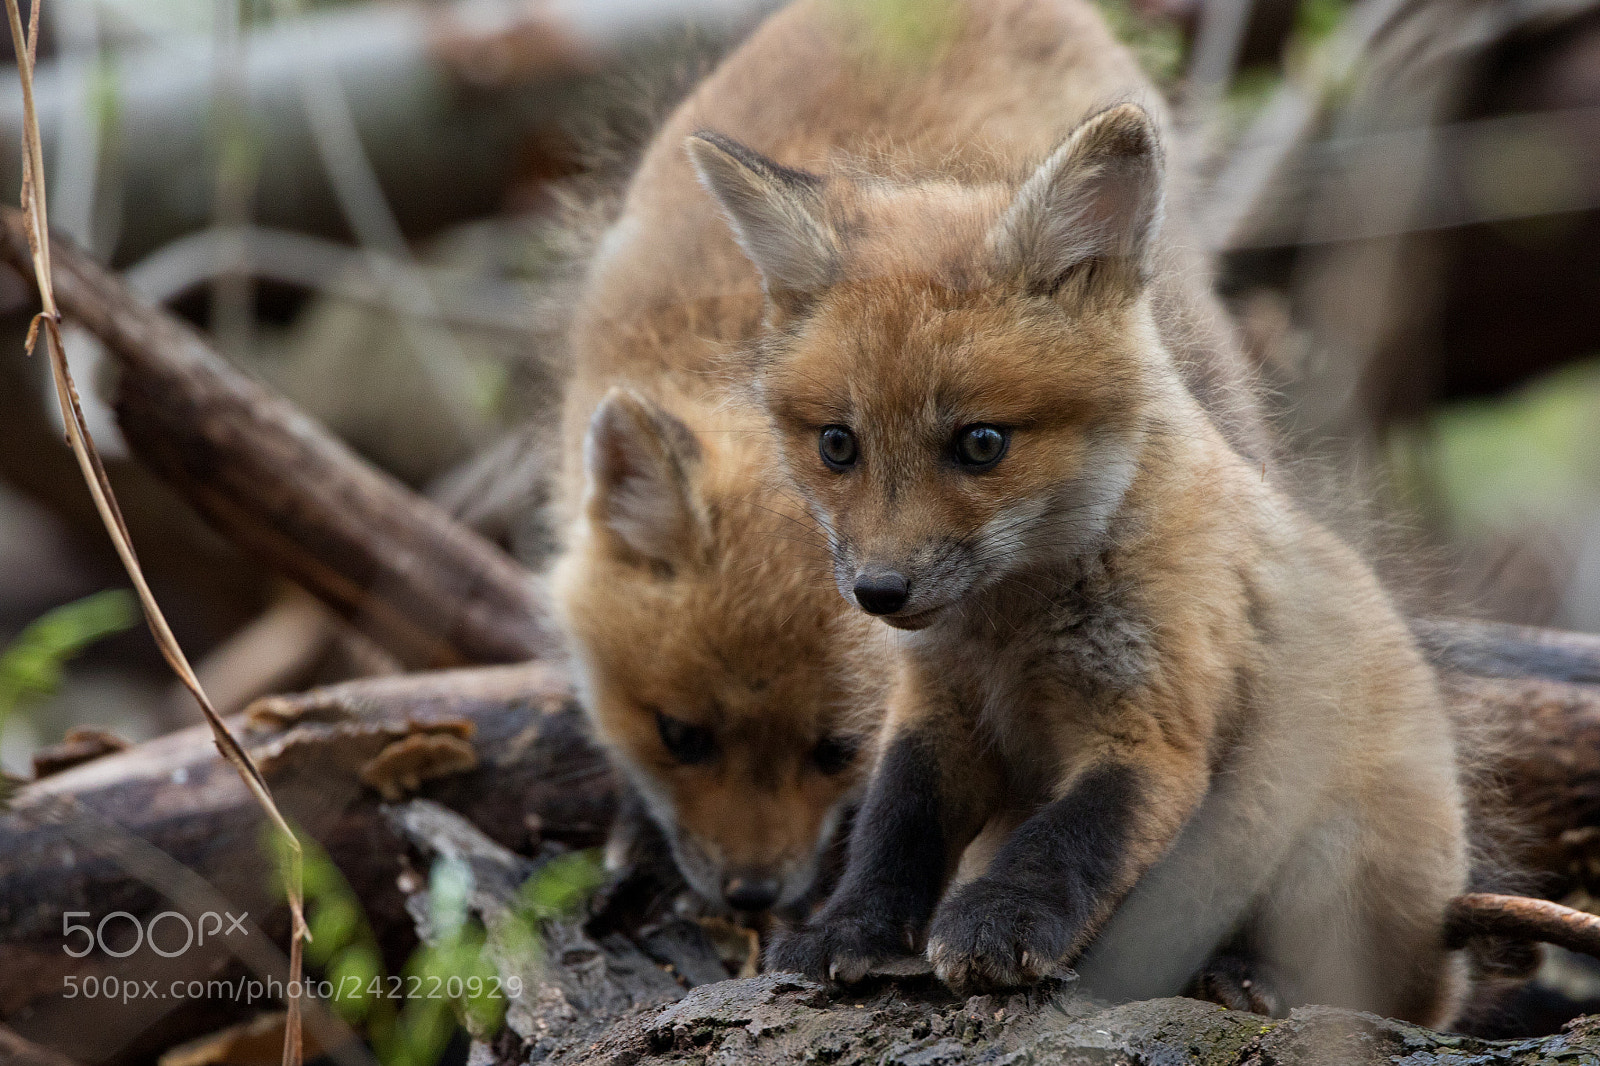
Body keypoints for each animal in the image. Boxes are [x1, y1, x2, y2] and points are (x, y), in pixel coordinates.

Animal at [686, 94, 1470, 1025]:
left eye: (981, 443)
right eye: (838, 446)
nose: (879, 591)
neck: (1009, 633)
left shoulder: (1151, 730)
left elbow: (1067, 841)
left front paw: (998, 922)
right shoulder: (938, 706)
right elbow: (894, 826)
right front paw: (851, 928)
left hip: (1330, 838)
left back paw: (1250, 977)